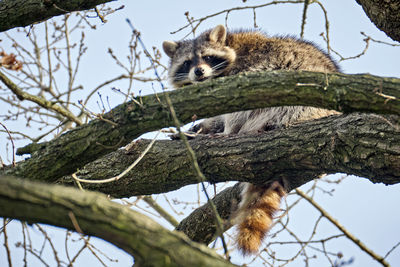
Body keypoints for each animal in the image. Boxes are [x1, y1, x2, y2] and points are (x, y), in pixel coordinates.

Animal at [162, 24, 340, 255]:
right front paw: (199, 128)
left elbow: (233, 108)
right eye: (187, 62)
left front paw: (219, 129)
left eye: (207, 57)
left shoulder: (241, 71)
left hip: (290, 93)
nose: (198, 71)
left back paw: (230, 132)